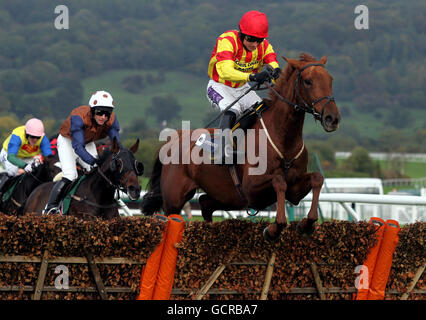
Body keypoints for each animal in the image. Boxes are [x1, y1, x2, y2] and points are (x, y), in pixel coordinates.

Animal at [141, 54, 342, 240]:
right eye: (308, 81)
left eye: (331, 79)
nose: (332, 118)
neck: (283, 138)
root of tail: (172, 140)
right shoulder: (250, 188)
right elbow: (279, 181)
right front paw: (274, 228)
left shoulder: (294, 190)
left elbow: (317, 178)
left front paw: (306, 224)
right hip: (174, 199)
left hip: (224, 195)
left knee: (205, 203)